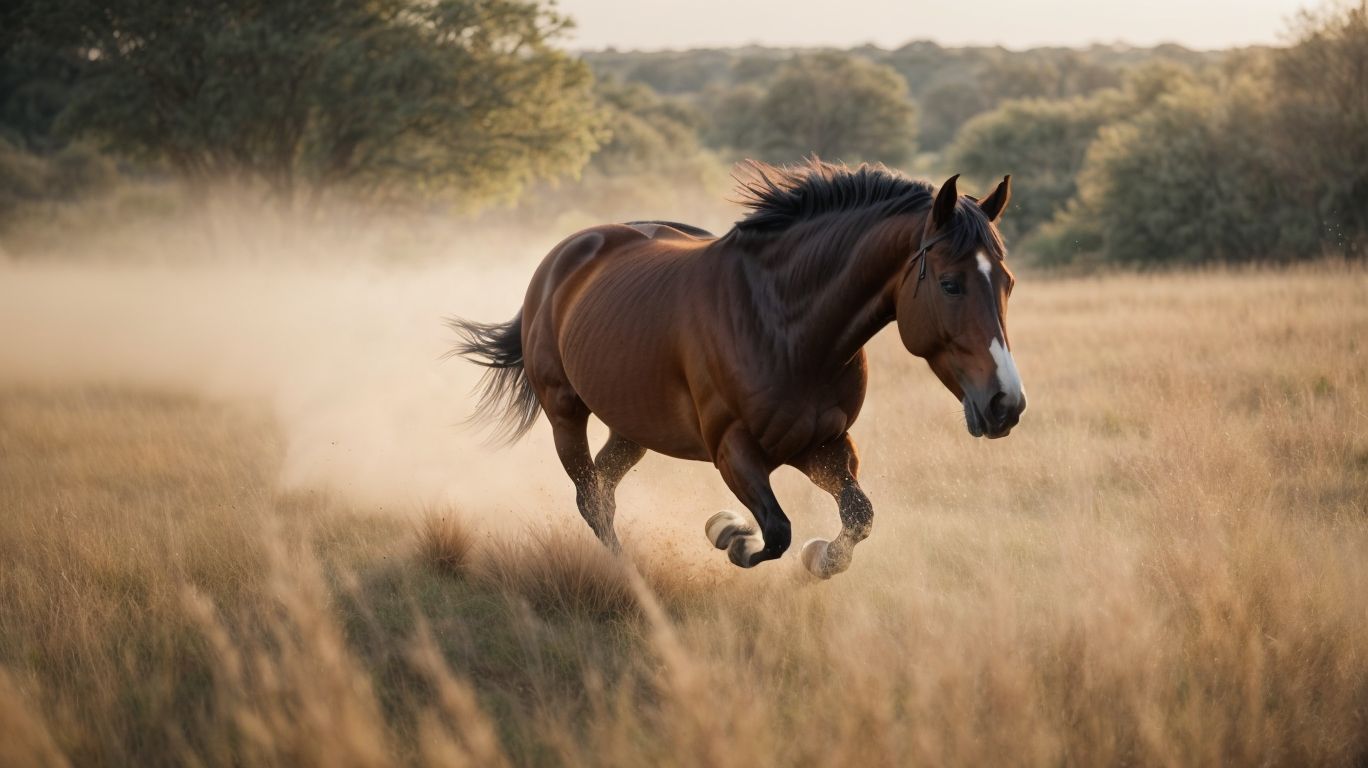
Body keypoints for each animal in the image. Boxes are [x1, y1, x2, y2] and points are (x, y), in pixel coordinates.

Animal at [450, 159, 1025, 578]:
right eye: (950, 284)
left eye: (1008, 283)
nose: (1006, 405)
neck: (786, 329)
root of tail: (565, 255)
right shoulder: (733, 449)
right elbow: (775, 532)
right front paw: (727, 533)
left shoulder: (825, 446)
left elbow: (857, 518)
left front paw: (819, 557)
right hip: (565, 412)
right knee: (590, 498)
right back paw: (629, 574)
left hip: (632, 427)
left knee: (605, 490)